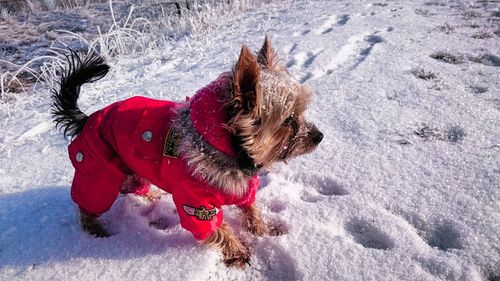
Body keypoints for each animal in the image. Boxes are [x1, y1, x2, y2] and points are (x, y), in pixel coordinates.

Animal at [51, 36, 324, 266]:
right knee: (87, 205)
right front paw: (237, 252)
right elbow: (215, 228)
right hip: (98, 172)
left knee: (132, 186)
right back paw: (96, 232)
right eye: (288, 120)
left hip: (125, 165)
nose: (319, 136)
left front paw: (262, 230)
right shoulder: (194, 201)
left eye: (301, 113)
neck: (230, 149)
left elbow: (250, 208)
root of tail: (86, 119)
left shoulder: (243, 186)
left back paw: (151, 196)